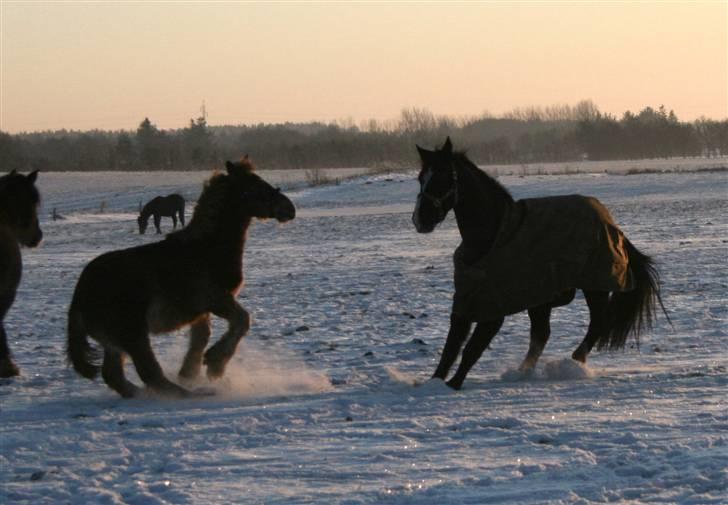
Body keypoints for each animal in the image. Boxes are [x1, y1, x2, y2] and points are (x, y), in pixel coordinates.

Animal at [68, 158, 296, 398]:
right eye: (255, 188)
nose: (289, 209)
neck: (206, 248)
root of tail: (80, 292)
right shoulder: (216, 299)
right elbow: (242, 319)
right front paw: (215, 364)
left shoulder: (201, 311)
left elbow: (201, 338)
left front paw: (190, 372)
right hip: (133, 333)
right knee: (148, 371)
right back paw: (189, 394)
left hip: (114, 342)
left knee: (114, 375)